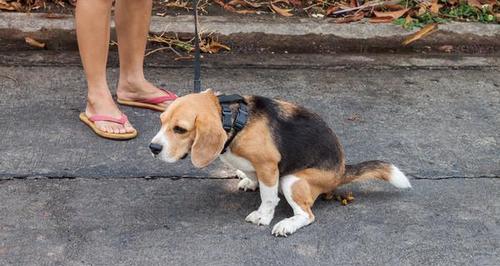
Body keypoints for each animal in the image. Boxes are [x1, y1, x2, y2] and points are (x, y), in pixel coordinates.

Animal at [148, 89, 410, 237]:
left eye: (180, 129)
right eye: (161, 122)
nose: (153, 148)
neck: (234, 119)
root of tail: (342, 170)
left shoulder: (268, 165)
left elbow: (268, 197)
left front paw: (263, 216)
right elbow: (253, 176)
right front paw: (248, 180)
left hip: (292, 180)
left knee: (307, 215)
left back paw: (287, 225)